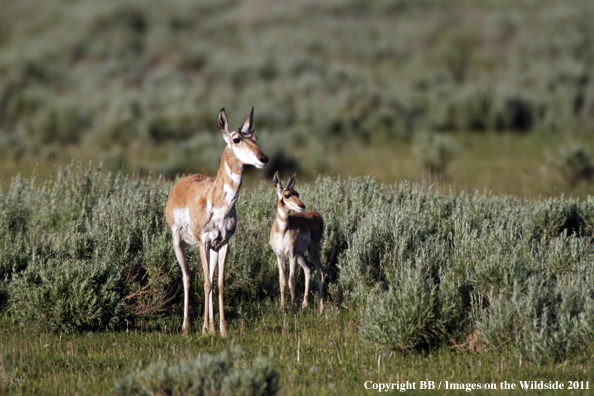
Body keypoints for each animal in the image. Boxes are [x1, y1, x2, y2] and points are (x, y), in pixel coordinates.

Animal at [166, 106, 268, 336]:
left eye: (255, 137)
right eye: (237, 139)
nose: (264, 159)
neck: (215, 201)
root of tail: (181, 182)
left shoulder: (223, 243)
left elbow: (219, 283)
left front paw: (221, 330)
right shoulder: (203, 242)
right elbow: (204, 283)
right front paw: (204, 329)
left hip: (212, 249)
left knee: (210, 278)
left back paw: (211, 327)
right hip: (179, 242)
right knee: (187, 277)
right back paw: (186, 327)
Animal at [268, 172, 324, 314]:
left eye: (297, 194)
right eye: (287, 195)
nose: (301, 206)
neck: (282, 230)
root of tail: (316, 214)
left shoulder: (291, 255)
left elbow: (291, 281)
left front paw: (293, 309)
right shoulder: (280, 255)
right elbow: (282, 281)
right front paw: (282, 309)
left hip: (312, 250)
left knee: (320, 271)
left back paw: (321, 308)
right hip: (300, 254)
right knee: (308, 269)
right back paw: (304, 306)